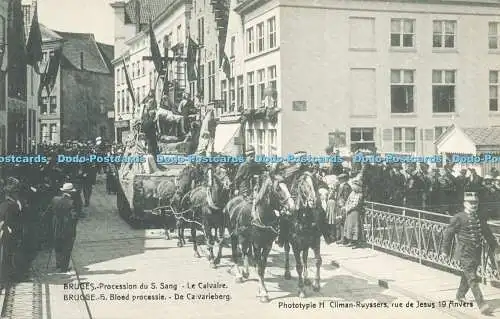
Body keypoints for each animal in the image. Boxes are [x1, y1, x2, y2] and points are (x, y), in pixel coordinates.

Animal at [222, 176, 292, 304]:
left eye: (287, 185)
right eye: (278, 189)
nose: (292, 205)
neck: (261, 217)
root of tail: (232, 201)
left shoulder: (267, 245)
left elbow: (262, 267)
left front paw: (262, 288)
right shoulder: (257, 245)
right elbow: (259, 267)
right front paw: (263, 293)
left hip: (245, 237)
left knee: (244, 251)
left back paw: (245, 272)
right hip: (233, 234)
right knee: (235, 253)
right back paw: (239, 275)